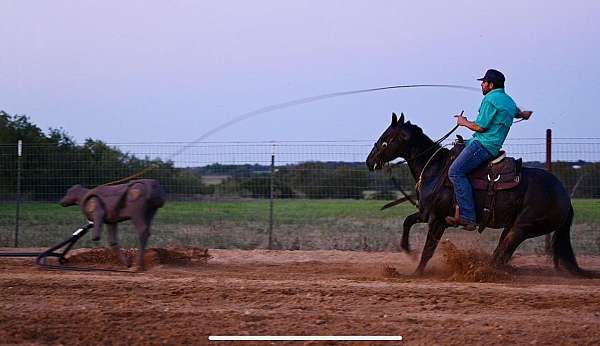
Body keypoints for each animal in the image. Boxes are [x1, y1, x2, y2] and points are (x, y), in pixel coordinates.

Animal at [366, 112, 592, 278]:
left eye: (385, 139)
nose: (369, 161)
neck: (435, 169)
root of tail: (564, 196)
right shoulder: (426, 213)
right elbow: (407, 222)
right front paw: (407, 251)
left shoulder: (438, 220)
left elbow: (429, 249)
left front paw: (416, 273)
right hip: (512, 226)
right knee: (502, 253)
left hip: (523, 228)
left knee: (502, 253)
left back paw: (482, 272)